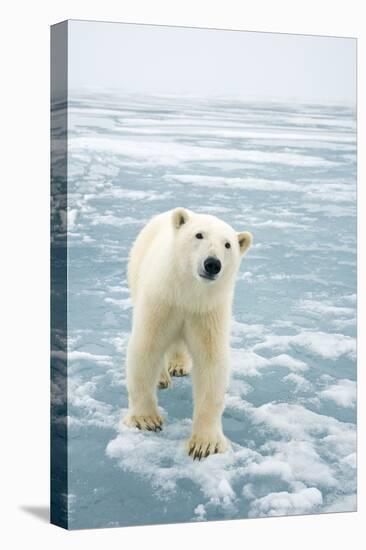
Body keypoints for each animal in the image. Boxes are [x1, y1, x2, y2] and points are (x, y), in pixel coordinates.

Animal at [123, 208, 252, 462]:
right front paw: (146, 419)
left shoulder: (207, 311)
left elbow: (211, 363)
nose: (212, 264)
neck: (187, 293)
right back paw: (162, 377)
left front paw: (205, 444)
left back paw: (179, 365)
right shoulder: (162, 300)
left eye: (228, 244)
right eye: (199, 234)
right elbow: (146, 347)